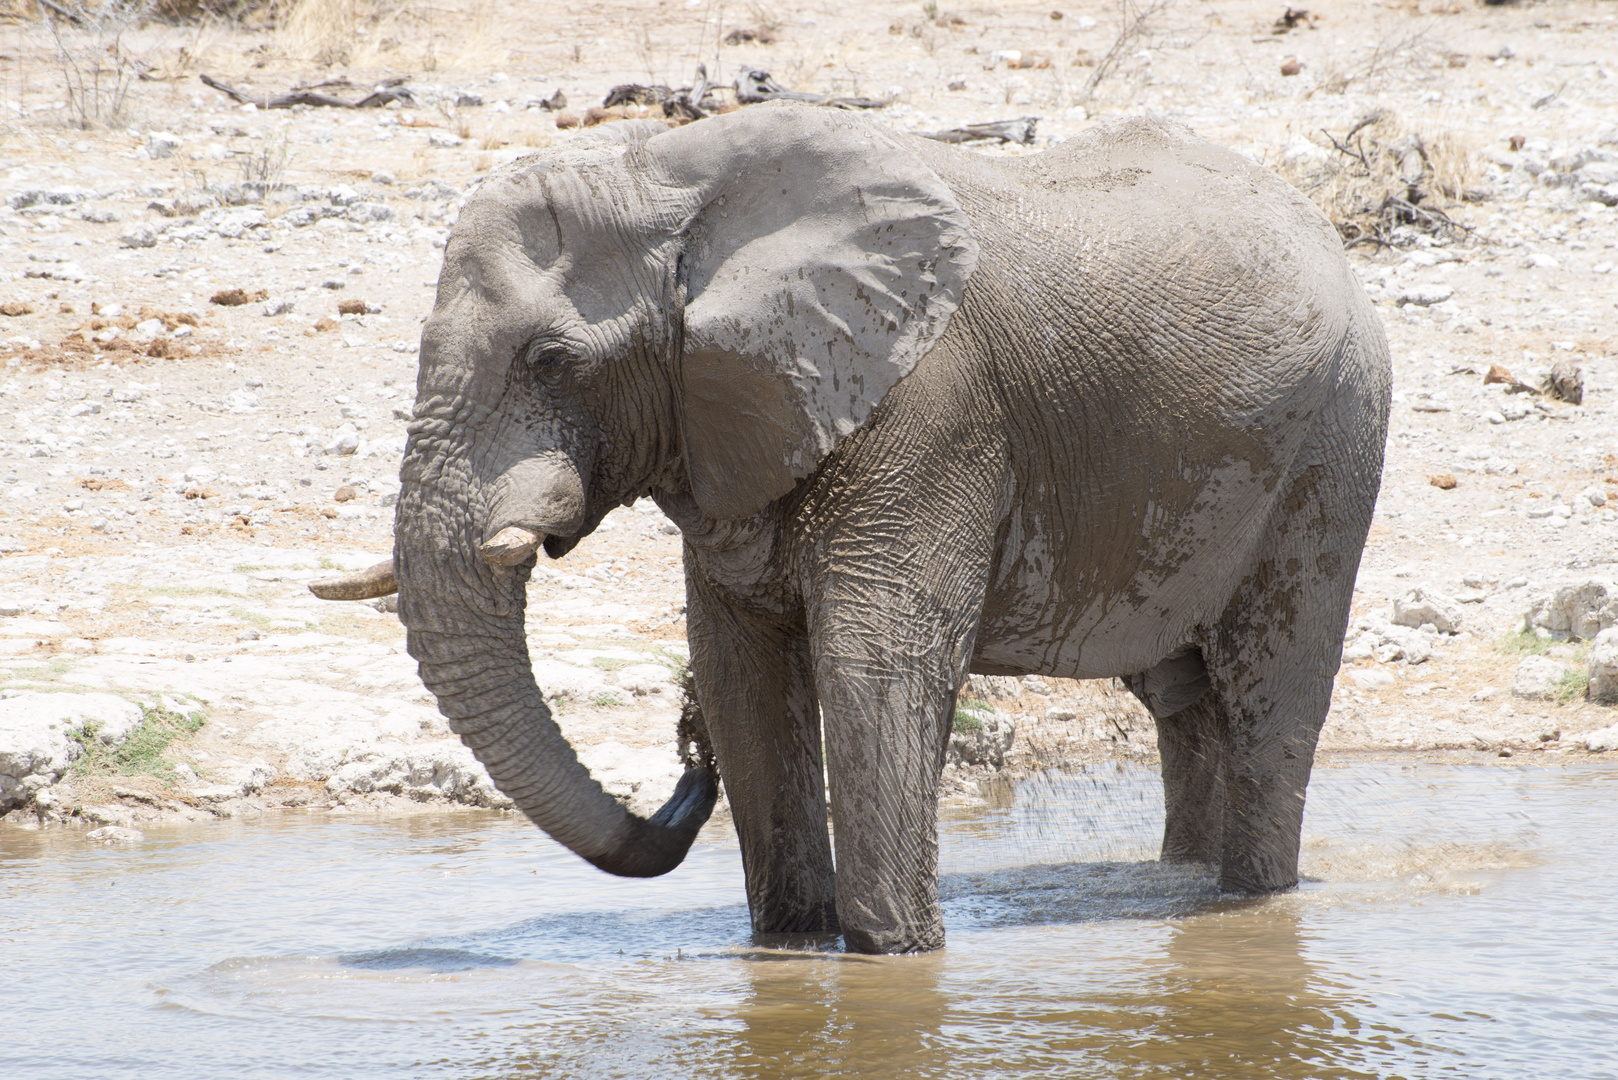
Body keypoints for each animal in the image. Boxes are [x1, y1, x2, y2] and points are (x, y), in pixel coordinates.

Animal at [312, 103, 1391, 952]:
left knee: (1269, 691)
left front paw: (892, 959)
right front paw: (789, 946)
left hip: (1333, 444)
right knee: (1182, 698)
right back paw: (1181, 885)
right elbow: (741, 671)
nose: (683, 755)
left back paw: (1251, 901)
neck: (669, 177)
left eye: (549, 359)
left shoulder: (929, 406)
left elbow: (876, 664)